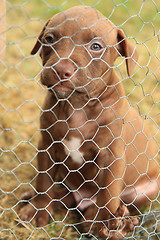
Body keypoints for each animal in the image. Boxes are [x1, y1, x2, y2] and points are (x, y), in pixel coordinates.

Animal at [19, 6, 159, 240]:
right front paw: (38, 208)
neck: (77, 104)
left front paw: (104, 224)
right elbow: (43, 180)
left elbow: (109, 194)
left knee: (115, 203)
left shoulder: (112, 157)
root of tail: (82, 199)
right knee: (63, 195)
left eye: (96, 47)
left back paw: (107, 223)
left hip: (146, 190)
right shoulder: (47, 145)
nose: (61, 69)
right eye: (49, 39)